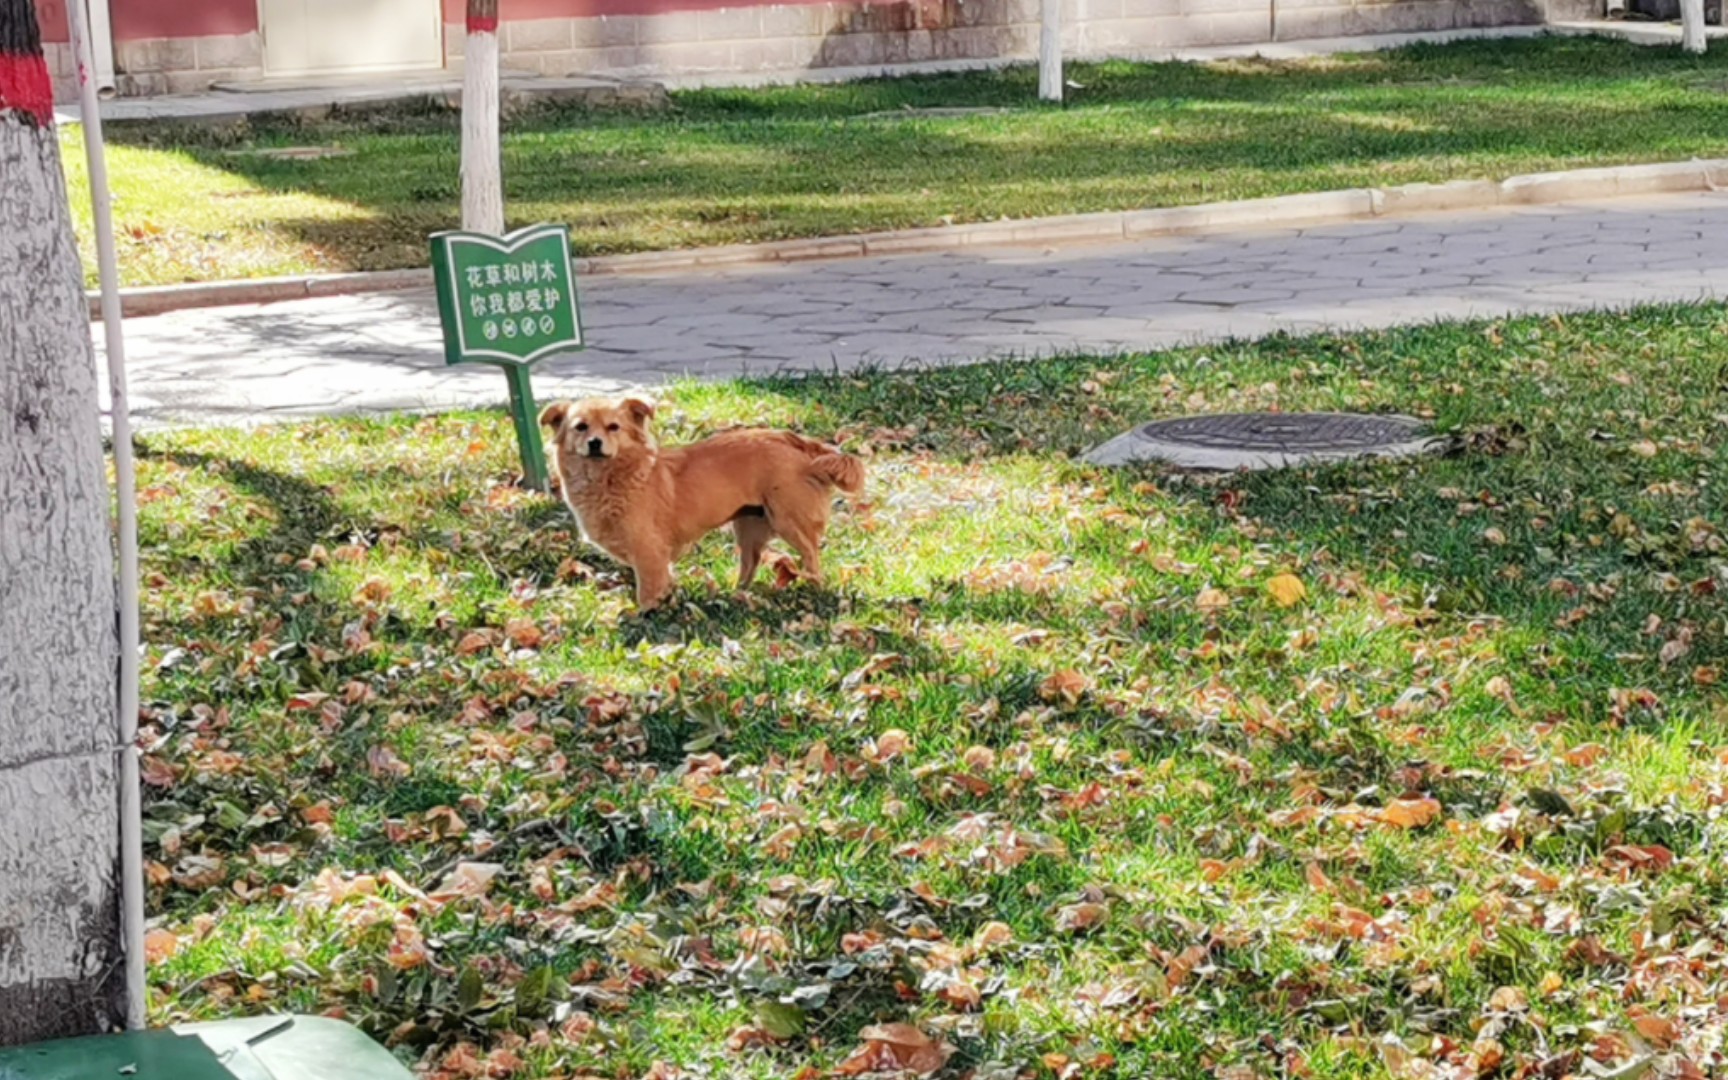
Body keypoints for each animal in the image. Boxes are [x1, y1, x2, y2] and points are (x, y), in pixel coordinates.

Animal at [539, 397, 864, 615]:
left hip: (787, 520)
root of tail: (796, 440)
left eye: (613, 427)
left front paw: (647, 615)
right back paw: (737, 594)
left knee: (811, 553)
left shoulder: (648, 553)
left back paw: (814, 586)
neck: (612, 477)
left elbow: (648, 590)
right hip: (749, 527)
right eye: (580, 427)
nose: (594, 442)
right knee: (751, 563)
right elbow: (664, 584)